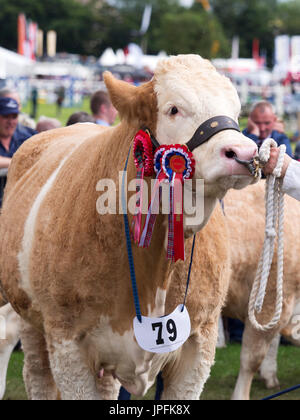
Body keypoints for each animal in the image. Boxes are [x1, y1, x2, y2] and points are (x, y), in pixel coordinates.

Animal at [0, 55, 258, 400]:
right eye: (173, 109)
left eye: (235, 109)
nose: (244, 154)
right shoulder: (67, 344)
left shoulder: (199, 346)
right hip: (30, 320)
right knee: (37, 377)